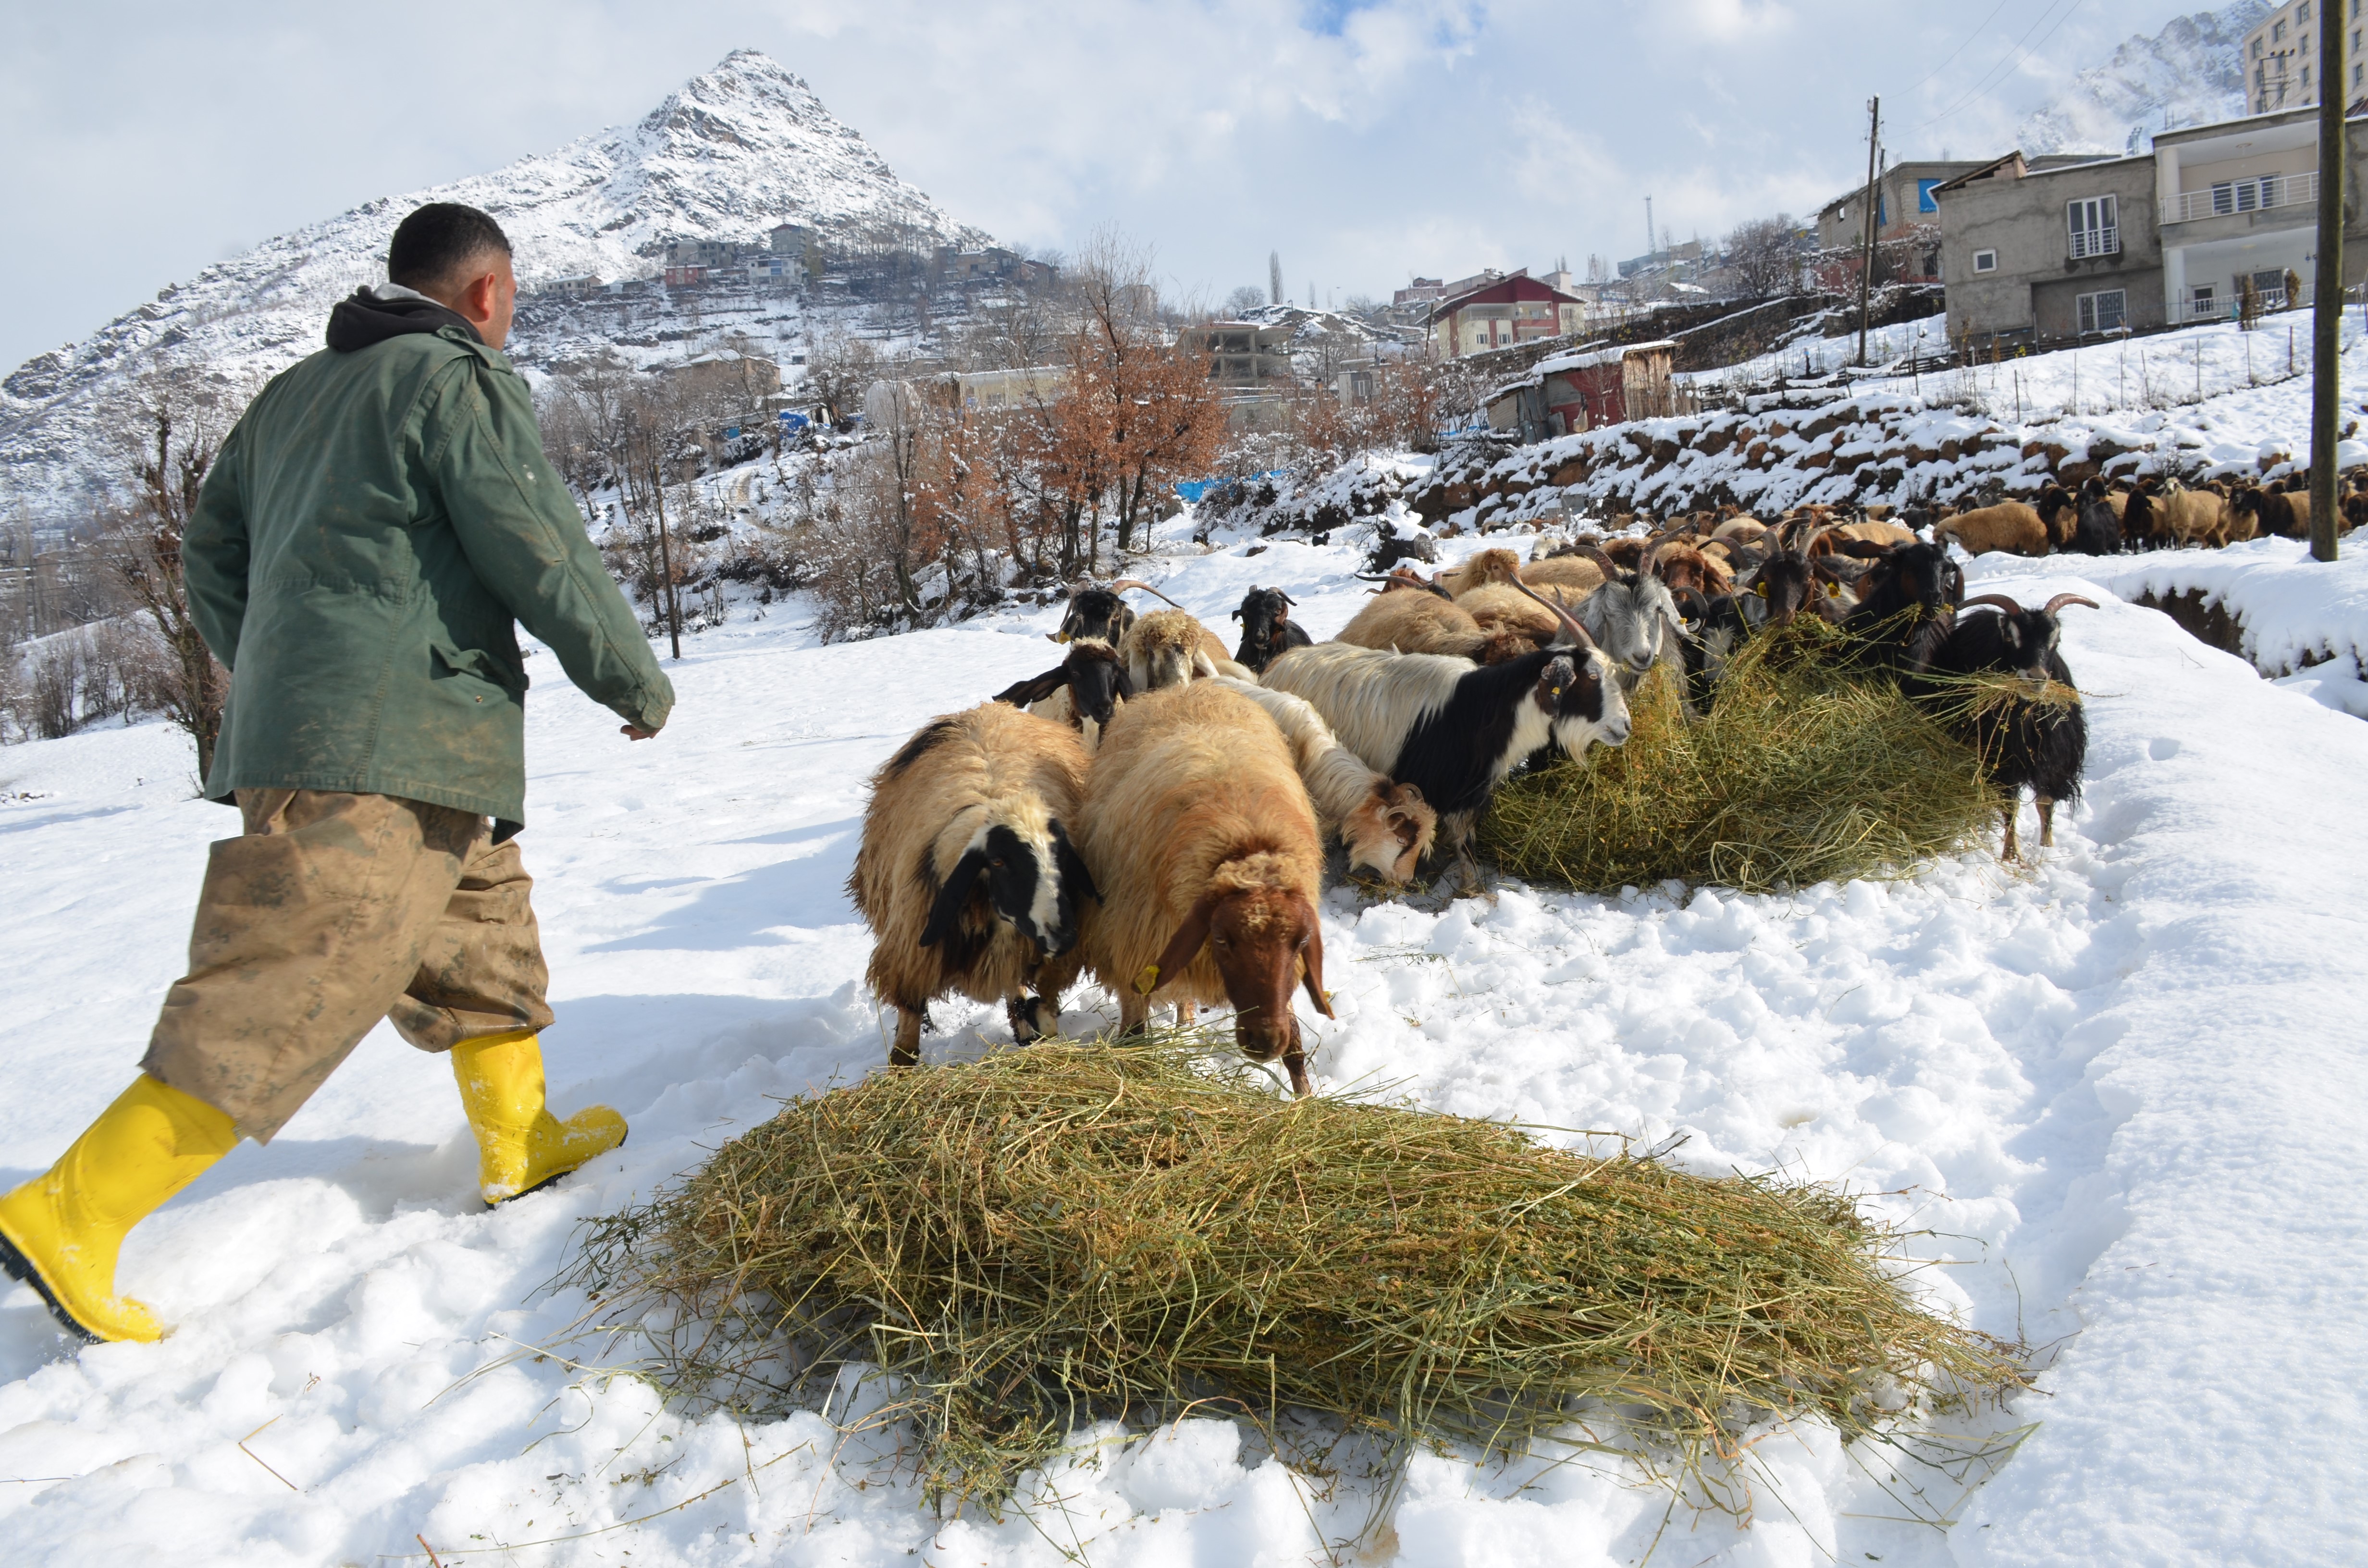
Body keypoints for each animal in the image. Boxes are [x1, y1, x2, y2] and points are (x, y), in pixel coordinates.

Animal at [852, 710, 1098, 1070]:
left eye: (1063, 854)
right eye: (997, 861)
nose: (1063, 936)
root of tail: (985, 710)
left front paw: (1032, 1030)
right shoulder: (914, 950)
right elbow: (910, 1015)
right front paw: (901, 1064)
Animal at [1075, 682, 1335, 1099]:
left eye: (1300, 943)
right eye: (1223, 940)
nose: (1264, 1041)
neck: (1245, 843)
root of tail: (1180, 689)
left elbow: (1295, 1043)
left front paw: (1305, 1100)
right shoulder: (1133, 946)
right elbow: (1134, 1034)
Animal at [1932, 592, 2103, 862]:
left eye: (2056, 639)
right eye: (2012, 637)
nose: (2036, 678)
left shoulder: (2053, 760)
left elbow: (2045, 801)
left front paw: (2047, 848)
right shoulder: (2001, 761)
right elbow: (2010, 805)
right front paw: (2012, 855)